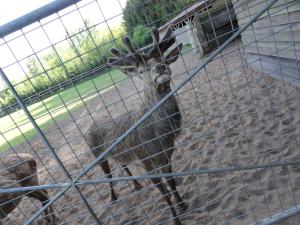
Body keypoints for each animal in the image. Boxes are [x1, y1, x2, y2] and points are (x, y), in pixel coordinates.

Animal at [84, 26, 186, 225]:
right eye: (140, 69)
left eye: (162, 59)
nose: (160, 67)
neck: (161, 136)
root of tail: (88, 126)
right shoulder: (145, 159)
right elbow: (164, 194)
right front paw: (176, 219)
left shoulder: (166, 156)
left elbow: (172, 183)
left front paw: (182, 204)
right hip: (97, 154)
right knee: (108, 175)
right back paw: (113, 197)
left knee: (122, 164)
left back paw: (137, 185)